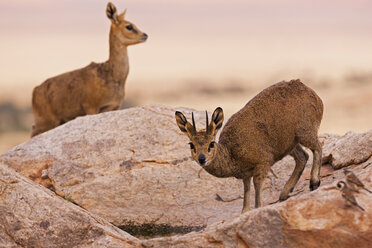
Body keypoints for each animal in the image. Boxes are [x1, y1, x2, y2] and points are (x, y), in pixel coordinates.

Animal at [30, 1, 147, 137]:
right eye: (129, 26)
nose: (145, 35)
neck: (113, 77)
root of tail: (34, 92)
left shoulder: (114, 106)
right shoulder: (90, 105)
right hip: (45, 120)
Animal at [174, 80, 322, 213]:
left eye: (211, 143)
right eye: (191, 144)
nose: (202, 158)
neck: (231, 153)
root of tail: (313, 93)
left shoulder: (263, 163)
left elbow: (257, 186)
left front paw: (257, 207)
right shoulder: (246, 173)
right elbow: (246, 190)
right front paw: (244, 211)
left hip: (305, 132)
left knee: (317, 147)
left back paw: (314, 182)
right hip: (291, 143)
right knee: (303, 157)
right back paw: (284, 194)